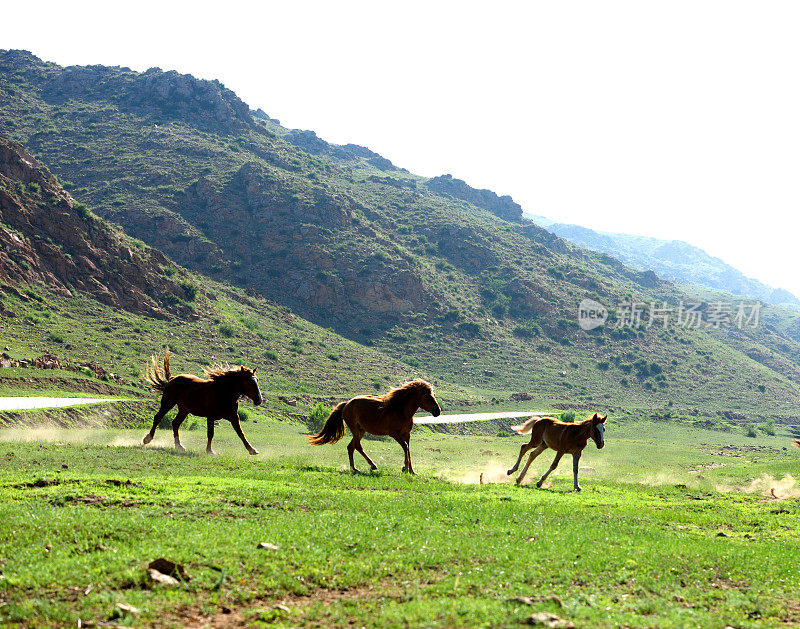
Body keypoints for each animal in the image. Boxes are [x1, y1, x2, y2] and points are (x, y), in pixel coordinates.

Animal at [308, 378, 444, 472]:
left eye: (434, 395)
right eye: (426, 395)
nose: (438, 411)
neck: (401, 410)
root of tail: (347, 404)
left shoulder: (406, 434)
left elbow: (408, 449)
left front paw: (412, 471)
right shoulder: (394, 434)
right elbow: (405, 447)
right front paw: (405, 468)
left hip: (361, 430)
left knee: (350, 447)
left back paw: (354, 468)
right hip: (355, 429)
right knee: (357, 446)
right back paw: (372, 465)